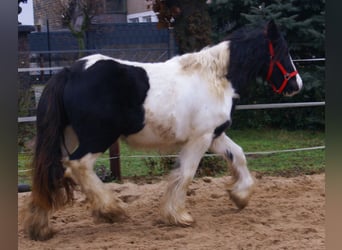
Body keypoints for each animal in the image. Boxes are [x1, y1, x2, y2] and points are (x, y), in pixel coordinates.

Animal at [23, 20, 302, 240]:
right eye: (284, 50)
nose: (296, 84)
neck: (216, 78)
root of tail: (68, 72)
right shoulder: (200, 139)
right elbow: (186, 173)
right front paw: (177, 216)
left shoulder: (214, 135)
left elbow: (239, 156)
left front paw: (240, 195)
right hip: (97, 138)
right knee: (77, 166)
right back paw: (112, 210)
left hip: (69, 137)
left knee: (53, 171)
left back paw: (41, 228)